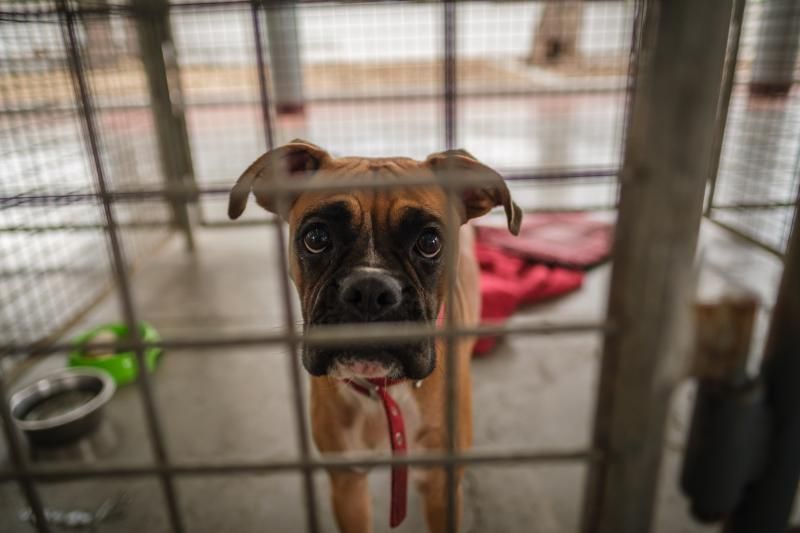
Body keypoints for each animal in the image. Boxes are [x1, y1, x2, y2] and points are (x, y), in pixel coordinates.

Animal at [228, 139, 520, 528]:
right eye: (316, 238)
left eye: (430, 242)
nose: (369, 289)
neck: (382, 392)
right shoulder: (347, 486)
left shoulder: (441, 489)